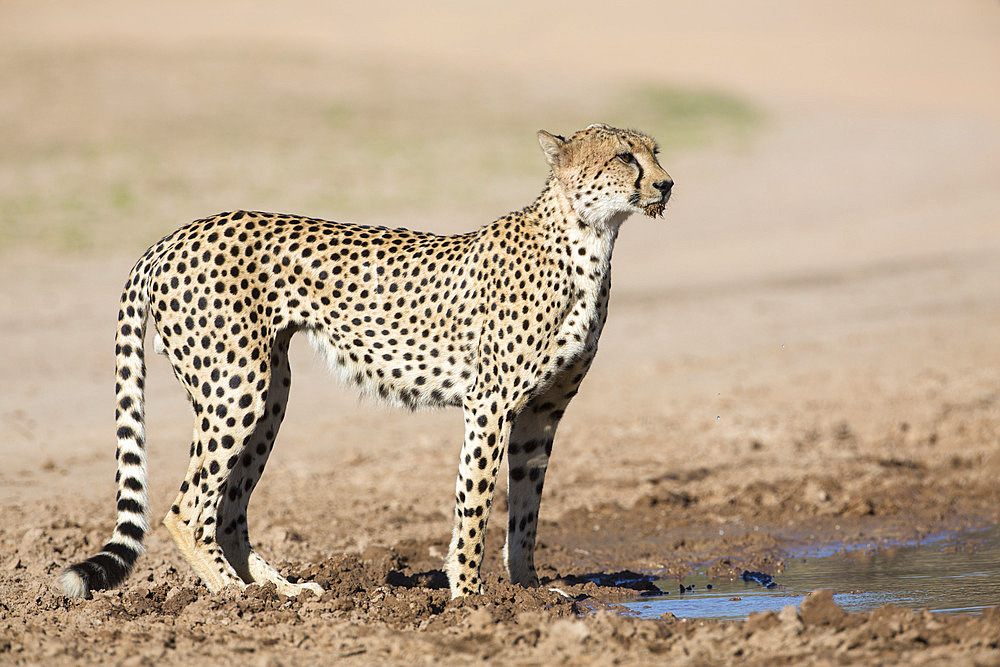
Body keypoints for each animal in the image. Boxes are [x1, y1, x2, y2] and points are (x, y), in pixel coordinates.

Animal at [60, 122, 672, 596]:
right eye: (625, 156)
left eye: (654, 150)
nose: (667, 183)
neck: (589, 239)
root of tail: (171, 237)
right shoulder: (490, 404)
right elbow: (474, 504)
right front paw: (471, 598)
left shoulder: (541, 412)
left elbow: (525, 510)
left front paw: (530, 594)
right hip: (238, 386)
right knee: (186, 508)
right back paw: (237, 597)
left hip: (271, 390)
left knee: (229, 509)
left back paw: (282, 592)